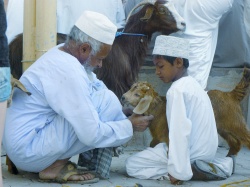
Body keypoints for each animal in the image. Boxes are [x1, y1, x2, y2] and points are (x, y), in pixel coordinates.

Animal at [121, 67, 250, 156]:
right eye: (130, 88)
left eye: (137, 94)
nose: (122, 97)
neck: (157, 108)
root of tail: (231, 94)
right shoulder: (158, 136)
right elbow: (152, 144)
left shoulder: (169, 135)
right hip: (222, 126)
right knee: (235, 142)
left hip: (235, 122)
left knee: (246, 138)